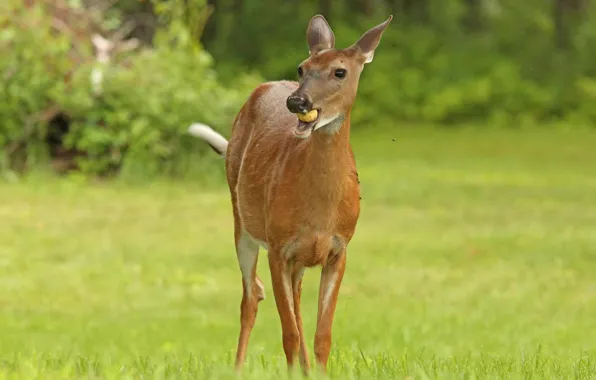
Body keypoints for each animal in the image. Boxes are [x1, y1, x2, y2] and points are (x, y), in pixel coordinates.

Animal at [187, 14, 392, 374]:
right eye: (302, 68)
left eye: (340, 72)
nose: (297, 102)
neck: (320, 212)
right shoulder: (278, 246)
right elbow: (289, 333)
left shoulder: (339, 249)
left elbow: (322, 334)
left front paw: (319, 373)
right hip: (243, 220)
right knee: (252, 295)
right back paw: (238, 369)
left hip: (297, 256)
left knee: (293, 298)